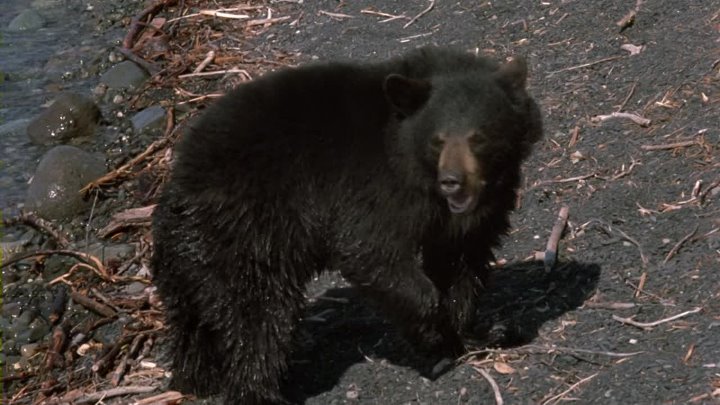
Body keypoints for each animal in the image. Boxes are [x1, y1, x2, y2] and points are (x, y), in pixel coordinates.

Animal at [151, 46, 543, 404]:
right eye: (438, 140)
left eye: (479, 137)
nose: (453, 181)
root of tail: (173, 194)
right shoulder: (373, 185)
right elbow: (370, 251)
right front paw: (437, 337)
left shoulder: (470, 212)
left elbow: (462, 259)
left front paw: (478, 332)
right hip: (246, 238)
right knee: (258, 318)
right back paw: (259, 392)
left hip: (189, 270)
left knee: (197, 328)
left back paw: (197, 380)